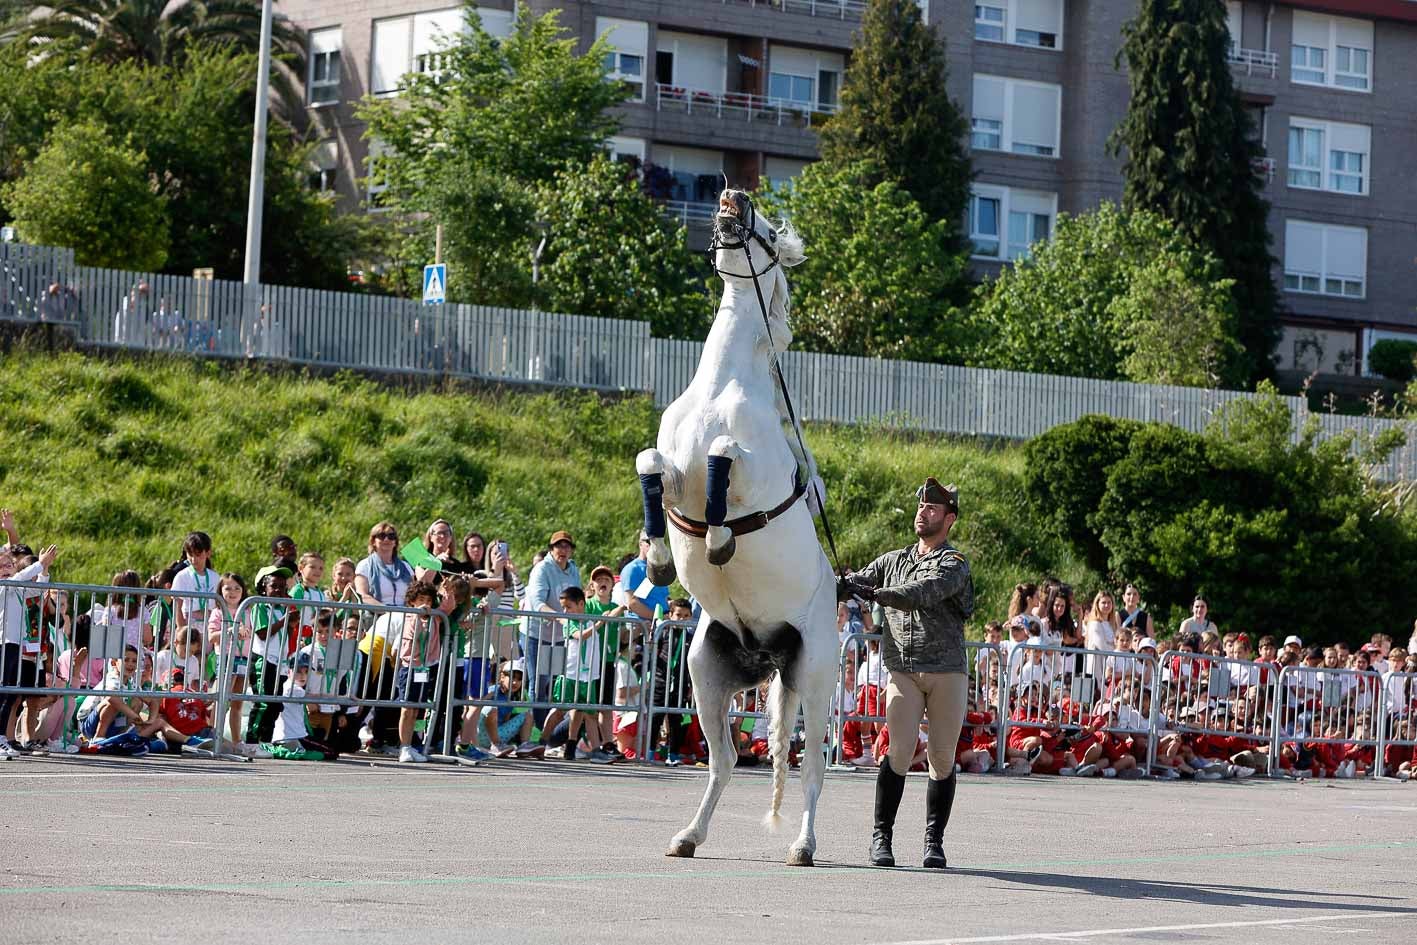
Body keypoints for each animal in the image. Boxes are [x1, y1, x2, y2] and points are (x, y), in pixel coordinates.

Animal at [634, 188, 838, 867]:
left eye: (769, 232)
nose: (734, 198)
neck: (723, 386)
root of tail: (766, 651)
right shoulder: (671, 464)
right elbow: (650, 465)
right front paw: (658, 555)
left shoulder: (747, 469)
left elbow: (725, 461)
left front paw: (721, 539)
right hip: (706, 673)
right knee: (723, 763)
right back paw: (687, 837)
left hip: (816, 676)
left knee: (811, 769)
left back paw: (803, 846)